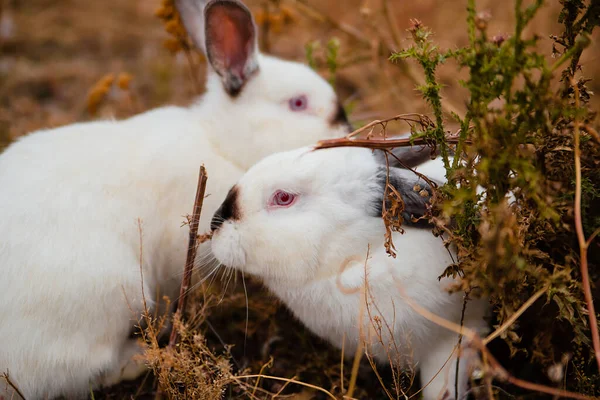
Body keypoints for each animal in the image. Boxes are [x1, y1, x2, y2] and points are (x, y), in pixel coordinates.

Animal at [0, 0, 352, 396]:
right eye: (298, 103)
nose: (346, 127)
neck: (221, 141)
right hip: (111, 297)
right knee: (89, 370)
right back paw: (143, 356)